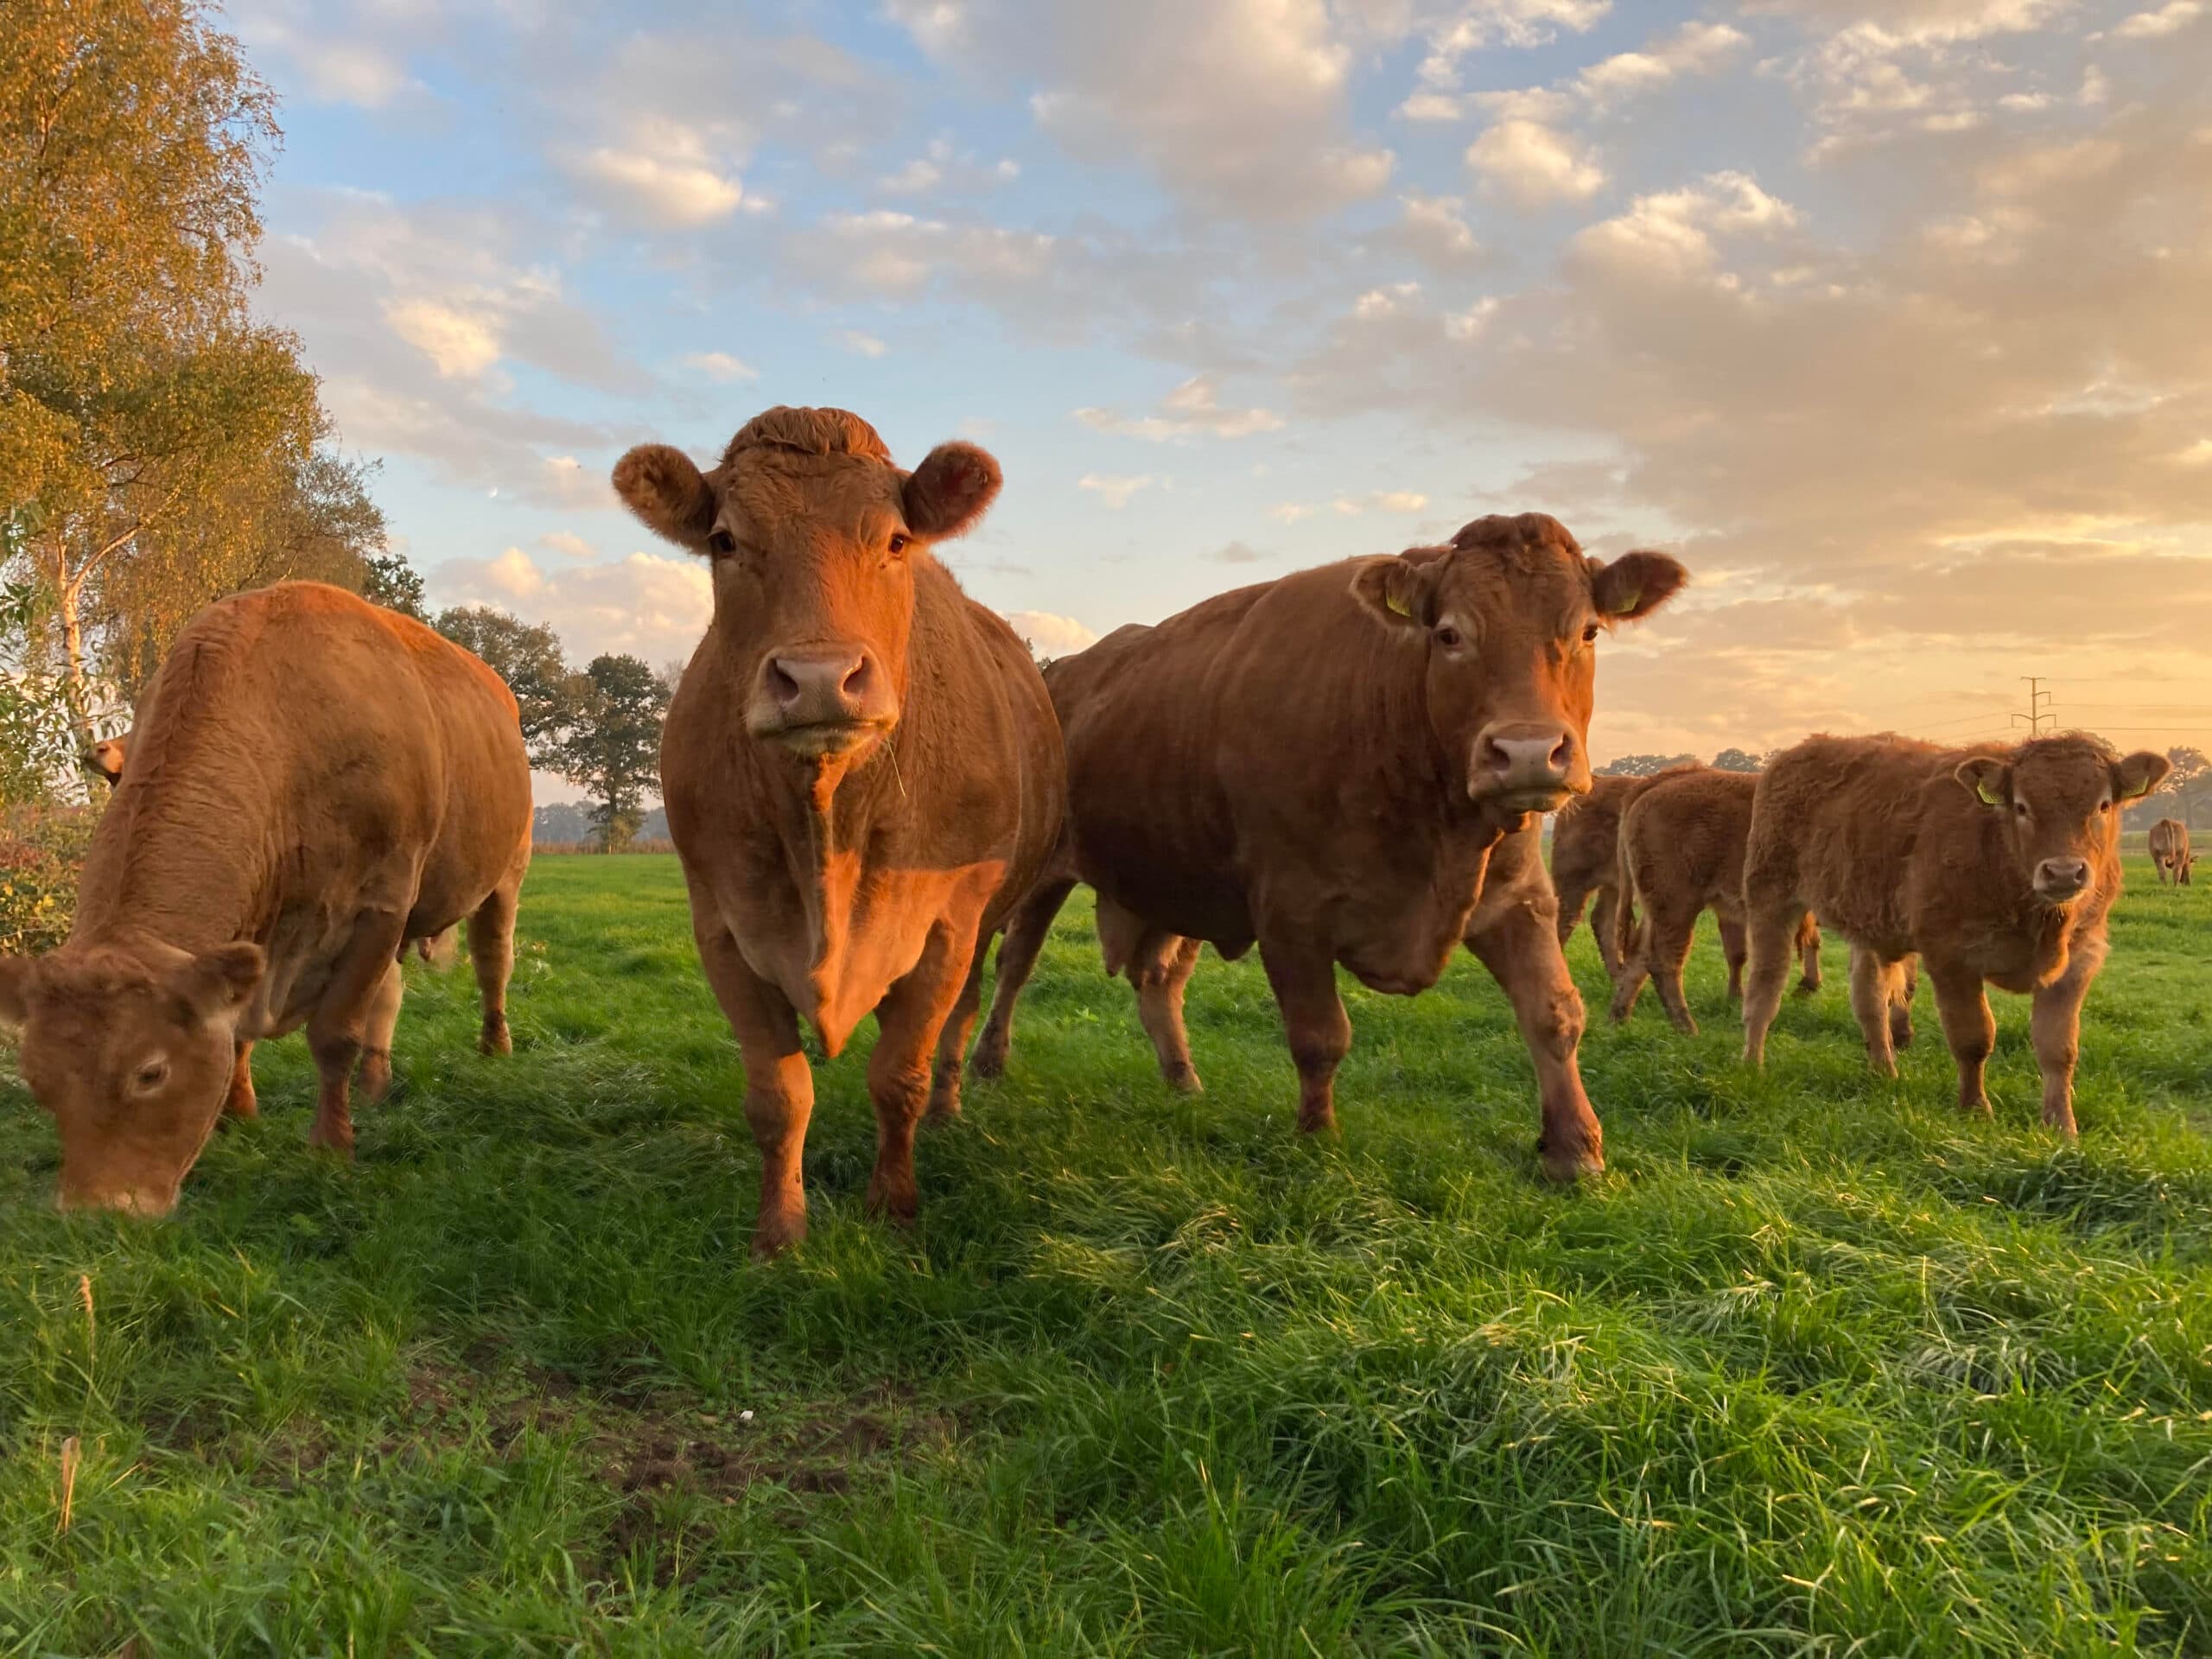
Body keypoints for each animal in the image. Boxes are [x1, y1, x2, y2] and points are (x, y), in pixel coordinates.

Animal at [0, 583, 532, 1214]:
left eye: (150, 1072)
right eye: (38, 1081)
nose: (94, 1214)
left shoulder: (380, 902)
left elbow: (335, 1034)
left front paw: (331, 1147)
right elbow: (238, 1028)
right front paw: (237, 1116)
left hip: (505, 871)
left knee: (493, 960)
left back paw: (495, 1047)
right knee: (392, 992)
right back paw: (376, 1085)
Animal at [614, 405, 1063, 1256]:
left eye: (895, 541)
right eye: (725, 541)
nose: (820, 680)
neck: (827, 831)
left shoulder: (948, 924)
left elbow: (899, 1077)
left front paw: (894, 1209)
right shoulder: (724, 927)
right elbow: (778, 1095)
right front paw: (779, 1233)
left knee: (961, 1018)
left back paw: (950, 1109)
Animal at [971, 513, 1687, 1181]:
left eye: (1587, 631)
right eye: (1450, 634)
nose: (1530, 752)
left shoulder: (1521, 900)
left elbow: (1555, 1014)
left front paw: (1576, 1150)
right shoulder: (1291, 912)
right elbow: (1321, 1036)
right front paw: (1318, 1138)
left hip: (1182, 877)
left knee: (1158, 979)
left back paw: (1183, 1081)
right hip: (1040, 874)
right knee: (1013, 963)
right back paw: (986, 1061)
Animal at [1609, 766, 1830, 1034]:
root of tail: (1658, 781)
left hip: (1659, 908)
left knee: (1638, 956)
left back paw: (1619, 1017)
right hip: (1677, 905)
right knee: (1663, 959)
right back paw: (1687, 1027)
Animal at [1740, 733, 2168, 1136]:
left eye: (2103, 805)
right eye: (2021, 806)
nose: (2064, 872)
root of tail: (1798, 751)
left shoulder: (2079, 961)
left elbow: (2058, 1049)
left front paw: (2062, 1127)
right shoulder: (1950, 957)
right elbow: (1973, 1038)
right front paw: (1976, 1110)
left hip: (1865, 928)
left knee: (1869, 1001)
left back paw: (1885, 1072)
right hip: (1770, 896)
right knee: (1764, 988)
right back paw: (1752, 1066)